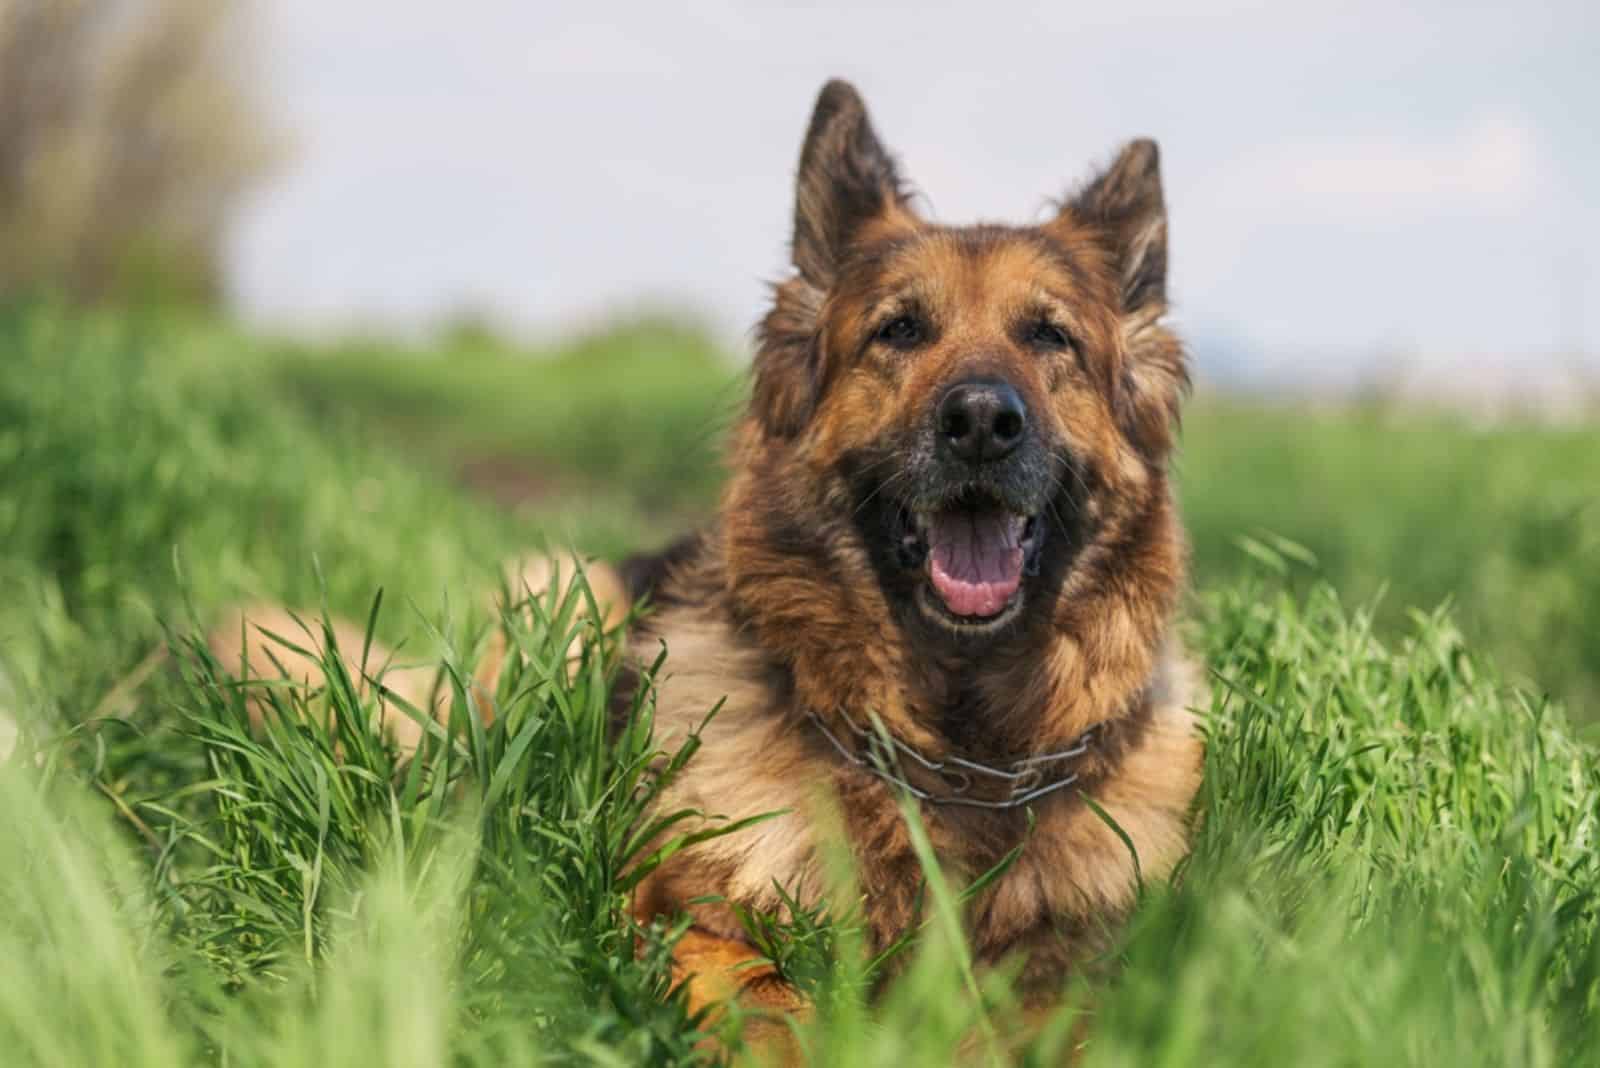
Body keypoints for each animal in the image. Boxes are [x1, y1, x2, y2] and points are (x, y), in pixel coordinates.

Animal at [212, 81, 1203, 1042]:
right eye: (900, 331)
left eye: (1049, 338)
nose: (983, 423)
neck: (952, 751)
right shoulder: (689, 920)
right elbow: (769, 1010)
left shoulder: (1071, 973)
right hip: (565, 596)